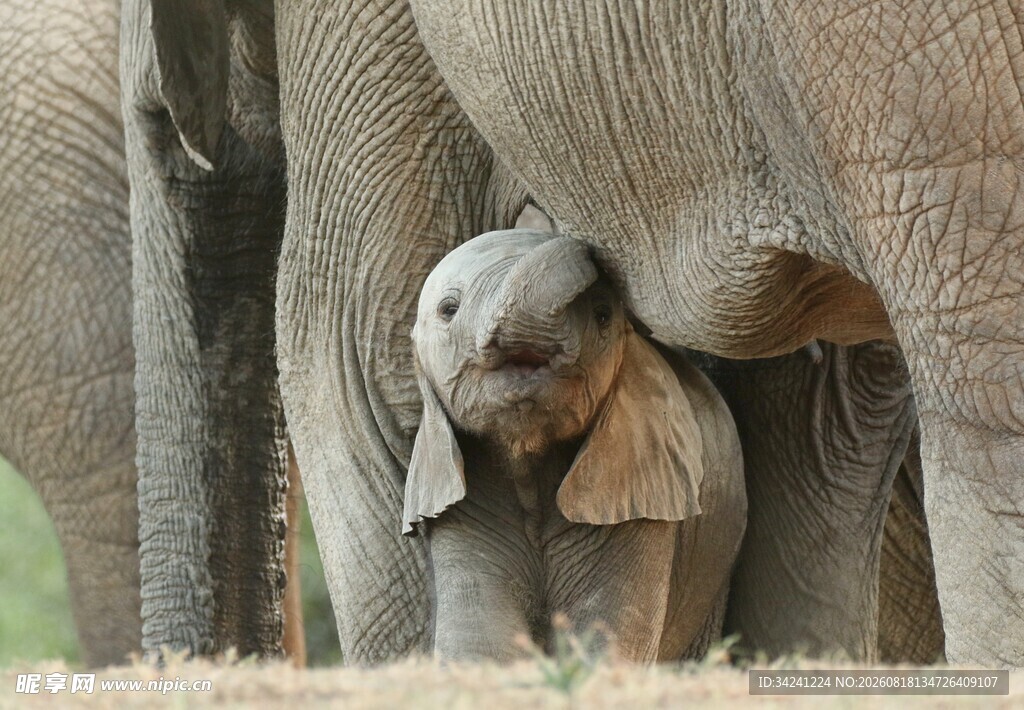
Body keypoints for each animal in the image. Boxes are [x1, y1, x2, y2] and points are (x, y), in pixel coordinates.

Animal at [405, 229, 745, 661]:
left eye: (602, 316)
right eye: (449, 309)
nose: (583, 242)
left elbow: (604, 636)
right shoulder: (459, 505)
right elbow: (479, 643)